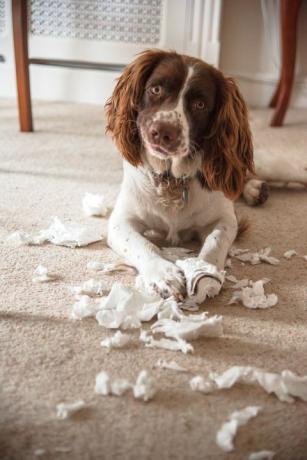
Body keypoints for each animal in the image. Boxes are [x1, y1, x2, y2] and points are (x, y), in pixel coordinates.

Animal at [105, 50, 306, 304]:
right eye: (156, 89)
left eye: (200, 105)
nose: (163, 132)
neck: (173, 179)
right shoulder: (121, 221)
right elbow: (142, 244)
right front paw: (164, 275)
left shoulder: (226, 219)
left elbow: (214, 243)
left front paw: (205, 274)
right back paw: (256, 190)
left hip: (255, 165)